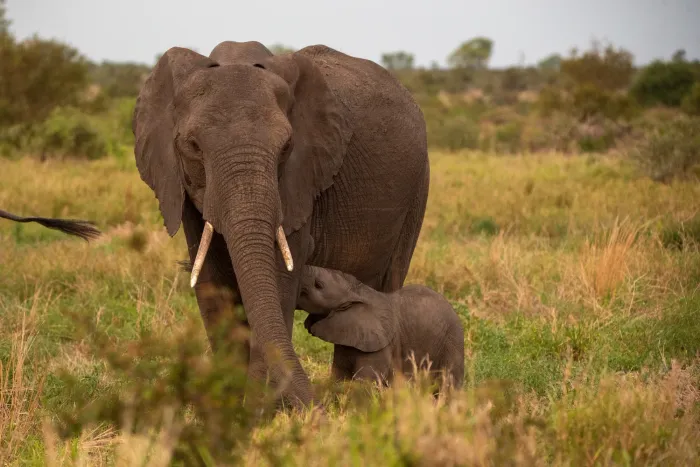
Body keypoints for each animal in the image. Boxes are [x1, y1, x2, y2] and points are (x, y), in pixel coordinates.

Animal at [131, 40, 429, 410]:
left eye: (286, 147)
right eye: (193, 147)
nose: (317, 410)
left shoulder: (301, 180)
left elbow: (280, 276)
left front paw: (261, 411)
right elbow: (211, 280)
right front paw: (230, 410)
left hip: (417, 189)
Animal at [297, 265, 464, 390]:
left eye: (318, 285)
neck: (359, 291)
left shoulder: (383, 344)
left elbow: (366, 380)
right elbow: (339, 374)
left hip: (452, 340)